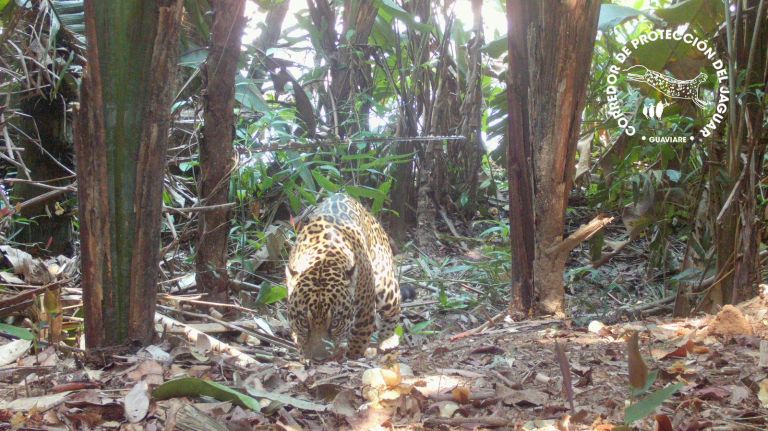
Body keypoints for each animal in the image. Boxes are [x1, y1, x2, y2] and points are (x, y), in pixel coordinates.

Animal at [285, 193, 401, 361]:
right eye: (304, 322)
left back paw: (387, 341)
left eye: (335, 323)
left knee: (394, 310)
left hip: (386, 287)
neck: (323, 259)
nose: (319, 359)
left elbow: (358, 340)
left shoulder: (365, 313)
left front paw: (351, 357)